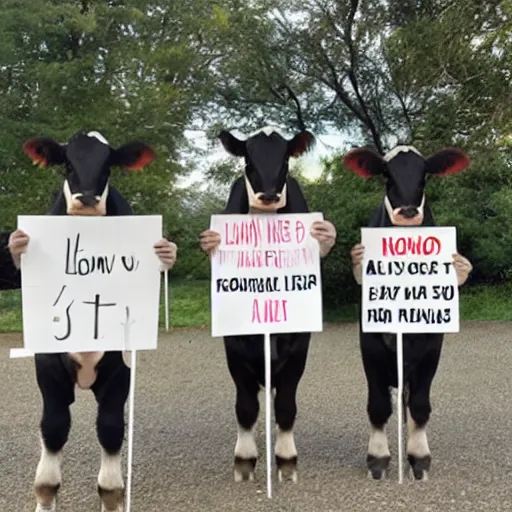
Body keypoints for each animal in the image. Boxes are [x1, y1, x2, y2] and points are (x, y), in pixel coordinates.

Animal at [9, 132, 179, 512]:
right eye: (68, 164)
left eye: (108, 165)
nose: (87, 199)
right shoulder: (48, 367)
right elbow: (54, 429)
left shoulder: (119, 371)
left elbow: (111, 429)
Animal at [202, 127, 338, 484]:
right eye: (248, 160)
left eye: (286, 159)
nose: (267, 195)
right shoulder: (235, 347)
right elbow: (246, 407)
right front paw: (245, 460)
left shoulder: (299, 345)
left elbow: (286, 405)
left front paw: (286, 460)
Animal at [344, 146, 472, 482]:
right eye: (386, 175)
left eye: (424, 174)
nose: (408, 212)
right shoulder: (370, 343)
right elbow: (378, 406)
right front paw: (378, 458)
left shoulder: (432, 345)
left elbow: (420, 405)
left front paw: (418, 457)